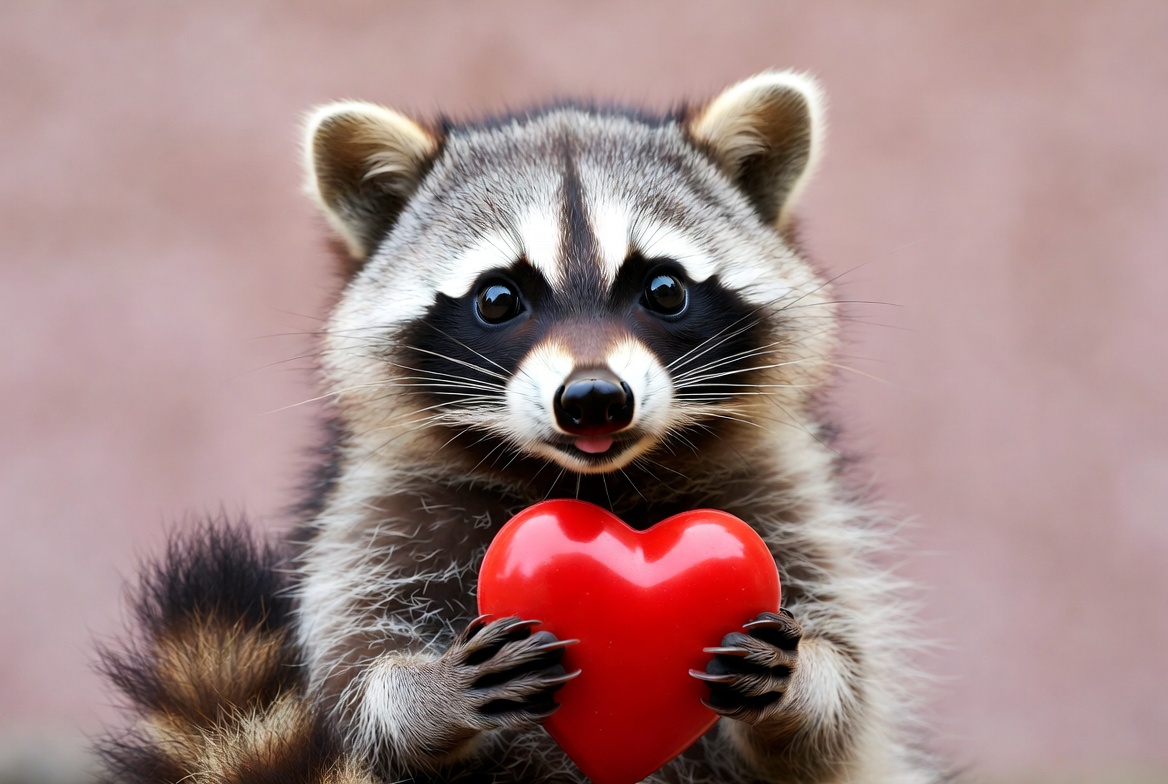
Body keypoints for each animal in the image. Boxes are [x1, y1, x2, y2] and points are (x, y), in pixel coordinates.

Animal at [98, 72, 944, 784]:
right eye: (499, 298)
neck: (593, 481)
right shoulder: (370, 521)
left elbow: (841, 714)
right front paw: (419, 696)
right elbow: (354, 690)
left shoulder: (791, 501)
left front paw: (807, 684)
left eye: (663, 288)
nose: (595, 399)